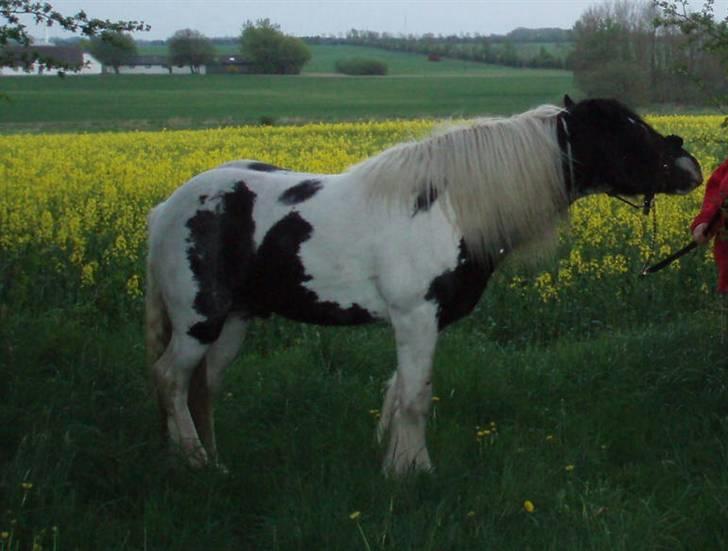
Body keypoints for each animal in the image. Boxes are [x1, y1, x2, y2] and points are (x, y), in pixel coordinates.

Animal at [145, 96, 704, 474]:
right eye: (624, 130)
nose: (690, 166)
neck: (450, 207)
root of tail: (167, 209)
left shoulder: (425, 323)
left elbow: (403, 391)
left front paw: (396, 462)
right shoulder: (415, 317)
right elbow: (414, 396)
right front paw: (413, 473)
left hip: (235, 322)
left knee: (203, 386)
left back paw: (213, 462)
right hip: (199, 320)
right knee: (170, 378)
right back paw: (194, 461)